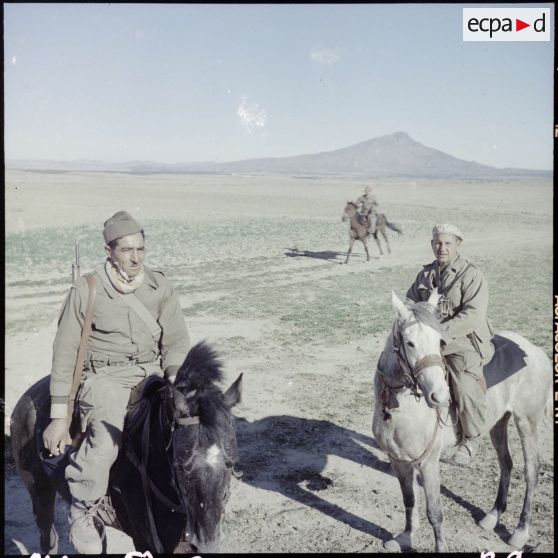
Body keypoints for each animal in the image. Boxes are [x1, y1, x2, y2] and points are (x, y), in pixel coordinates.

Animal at [9, 342, 244, 556]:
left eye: (230, 464)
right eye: (180, 465)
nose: (206, 543)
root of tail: (26, 398)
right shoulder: (144, 541)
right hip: (40, 492)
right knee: (48, 537)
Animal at [374, 296, 552, 552]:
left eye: (440, 342)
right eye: (410, 343)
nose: (440, 397)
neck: (400, 409)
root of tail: (536, 351)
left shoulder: (428, 463)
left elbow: (434, 512)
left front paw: (440, 548)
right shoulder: (399, 461)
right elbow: (409, 500)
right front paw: (405, 537)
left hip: (527, 422)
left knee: (531, 471)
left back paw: (520, 531)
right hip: (498, 423)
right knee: (506, 463)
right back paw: (492, 516)